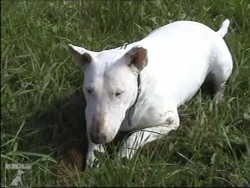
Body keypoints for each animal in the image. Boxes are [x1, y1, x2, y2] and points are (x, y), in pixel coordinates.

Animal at [68, 18, 232, 166]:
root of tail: (214, 32)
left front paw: (122, 157)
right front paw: (94, 157)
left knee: (221, 85)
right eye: (89, 90)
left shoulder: (169, 122)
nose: (98, 137)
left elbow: (135, 135)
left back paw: (216, 102)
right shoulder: (89, 114)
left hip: (222, 69)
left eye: (119, 93)